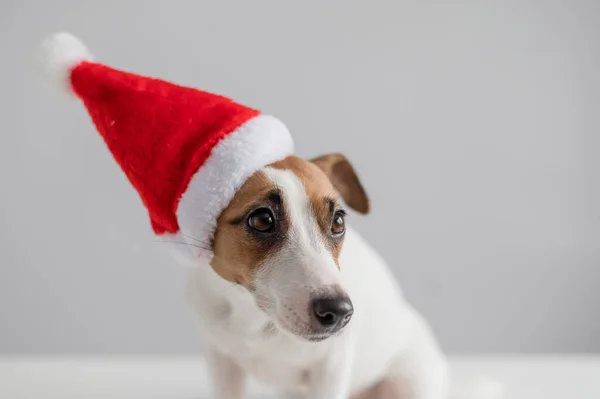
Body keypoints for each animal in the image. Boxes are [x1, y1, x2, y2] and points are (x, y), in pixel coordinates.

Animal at [185, 154, 448, 399]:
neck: (256, 319)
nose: (339, 311)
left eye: (338, 221)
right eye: (262, 219)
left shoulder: (330, 370)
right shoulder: (222, 361)